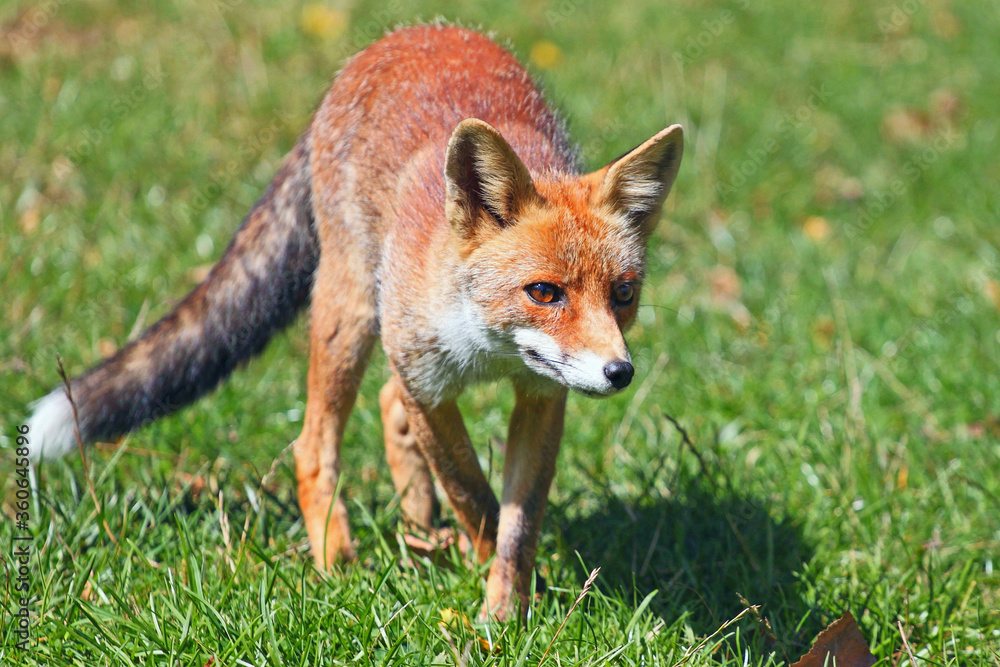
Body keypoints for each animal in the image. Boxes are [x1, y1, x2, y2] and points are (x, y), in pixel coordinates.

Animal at [27, 24, 683, 621]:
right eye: (544, 293)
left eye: (623, 294)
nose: (619, 372)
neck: (484, 347)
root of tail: (399, 35)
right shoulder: (426, 382)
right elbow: (473, 494)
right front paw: (497, 593)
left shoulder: (541, 398)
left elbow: (517, 526)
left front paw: (508, 609)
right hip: (351, 316)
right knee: (313, 445)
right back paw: (335, 558)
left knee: (387, 407)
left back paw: (420, 531)